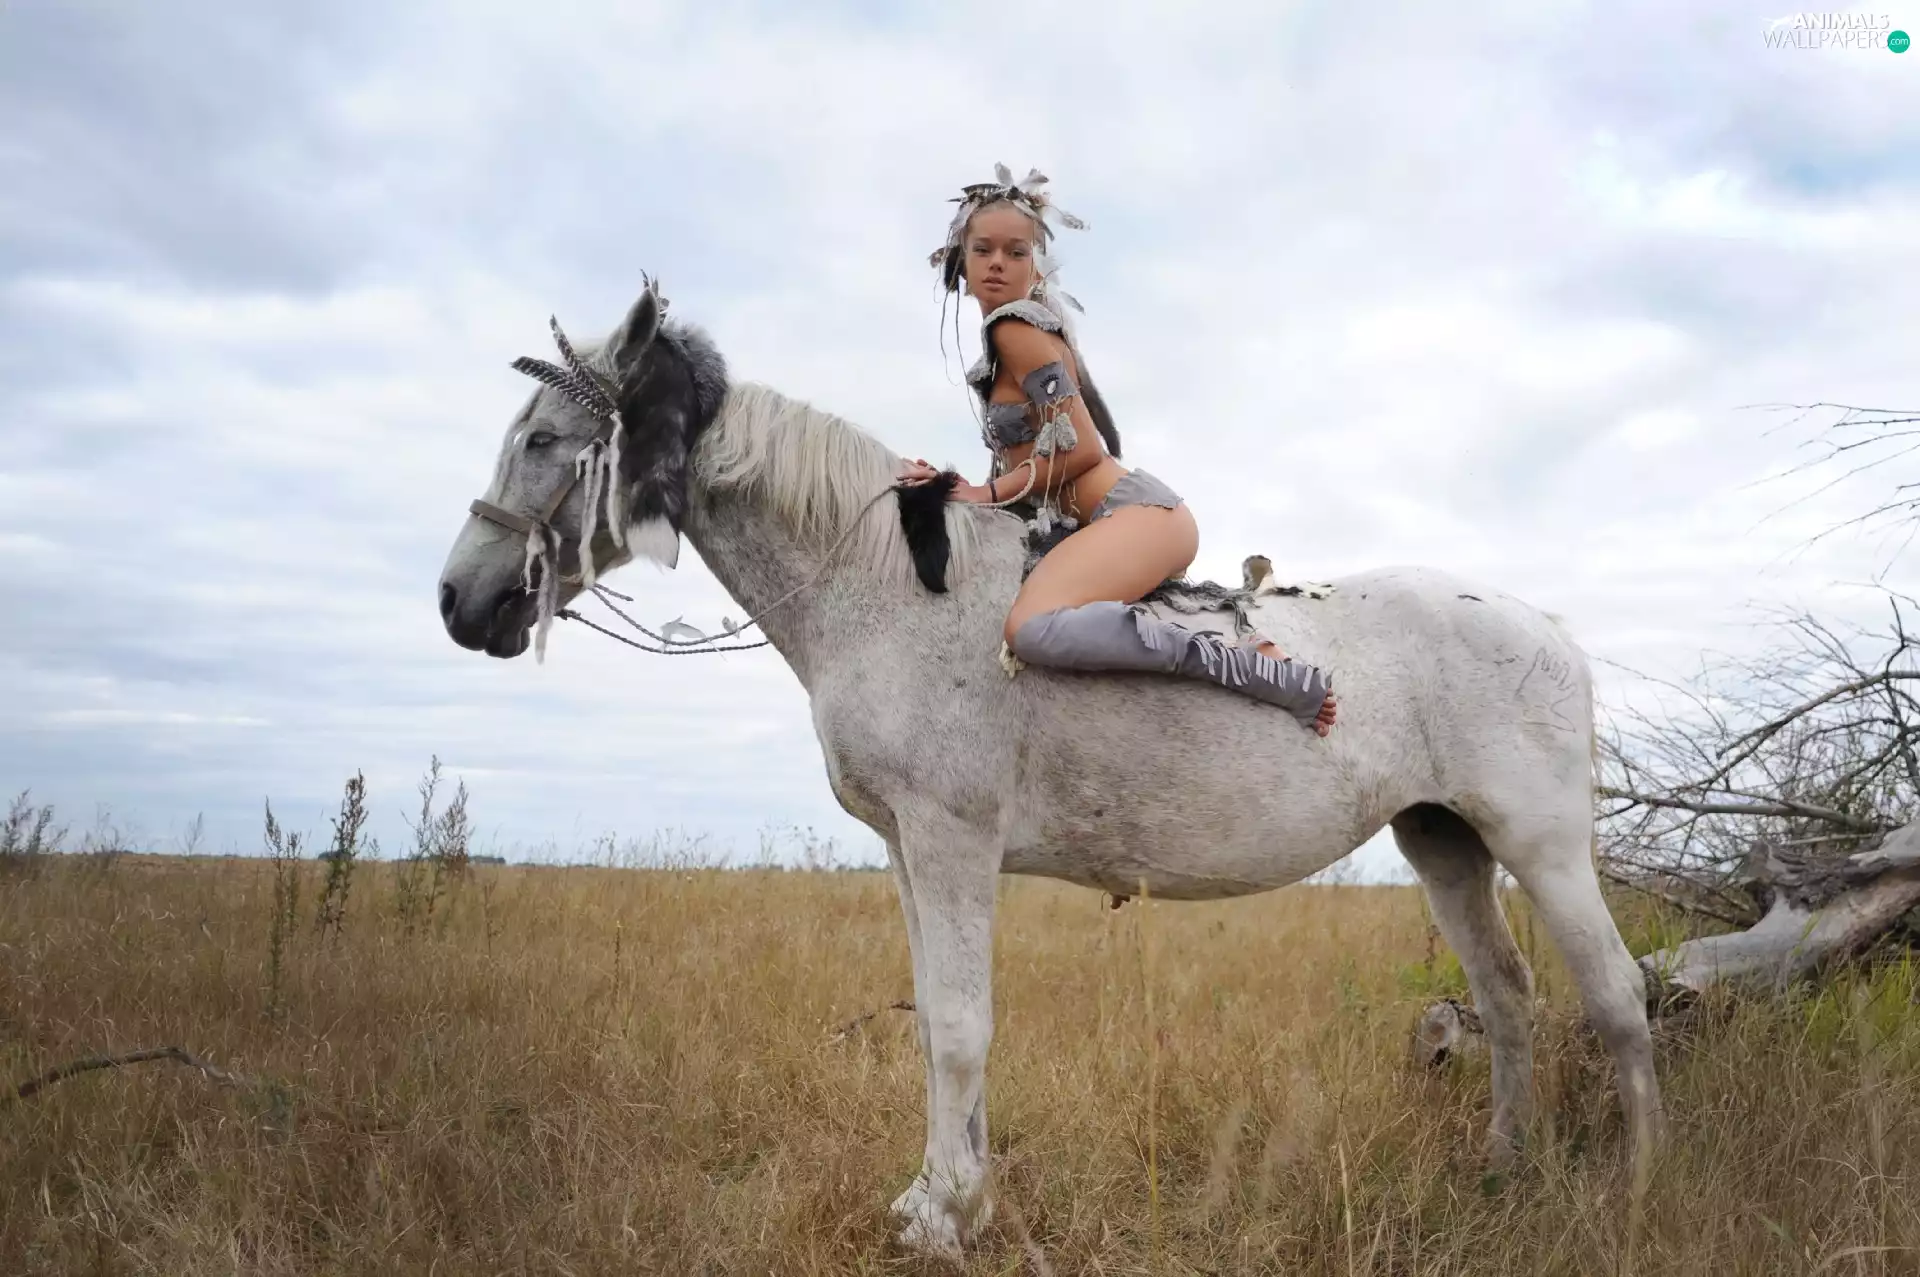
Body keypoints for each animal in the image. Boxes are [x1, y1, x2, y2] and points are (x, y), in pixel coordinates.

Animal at [436, 280, 1664, 1257]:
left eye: (543, 439)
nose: (460, 599)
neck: (889, 584)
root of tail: (1544, 627)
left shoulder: (952, 838)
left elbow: (960, 1026)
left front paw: (944, 1218)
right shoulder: (910, 851)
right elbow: (935, 1021)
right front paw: (944, 1197)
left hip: (1543, 845)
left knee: (1614, 996)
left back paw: (1638, 1187)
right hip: (1443, 840)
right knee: (1507, 999)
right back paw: (1505, 1166)